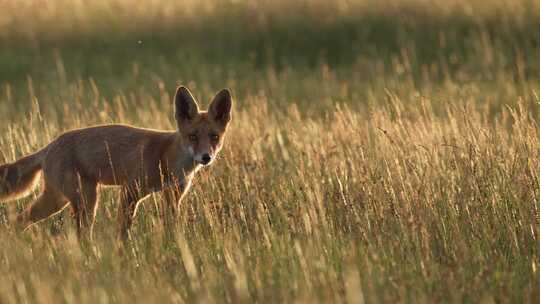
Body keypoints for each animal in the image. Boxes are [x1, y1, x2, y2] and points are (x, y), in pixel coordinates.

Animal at [0, 86, 230, 240]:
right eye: (193, 137)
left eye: (214, 137)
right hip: (82, 201)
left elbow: (171, 227)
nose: (206, 157)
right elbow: (123, 230)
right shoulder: (130, 190)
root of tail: (50, 145)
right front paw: (125, 254)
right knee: (76, 234)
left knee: (20, 220)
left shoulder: (173, 195)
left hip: (62, 200)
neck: (167, 157)